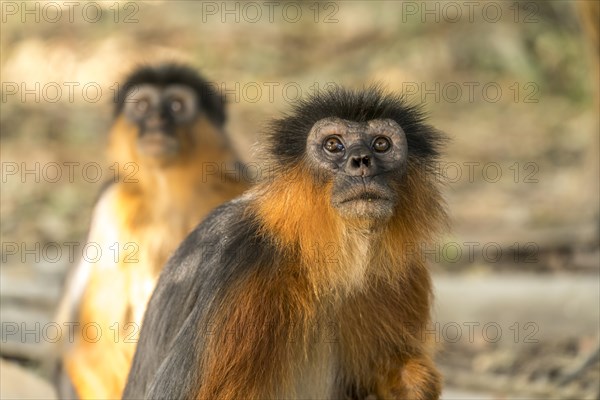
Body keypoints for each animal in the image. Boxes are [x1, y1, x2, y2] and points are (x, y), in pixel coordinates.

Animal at [52, 64, 247, 398]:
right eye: (143, 107)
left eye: (176, 106)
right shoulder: (111, 204)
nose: (156, 122)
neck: (169, 193)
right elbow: (91, 345)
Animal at [124, 86, 448, 398]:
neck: (323, 264)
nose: (361, 162)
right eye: (334, 145)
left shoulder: (405, 271)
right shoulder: (244, 265)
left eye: (381, 145)